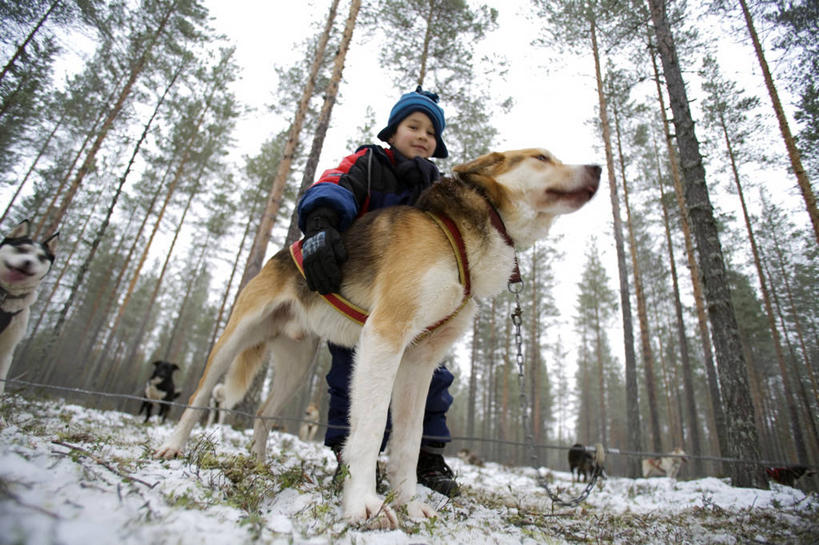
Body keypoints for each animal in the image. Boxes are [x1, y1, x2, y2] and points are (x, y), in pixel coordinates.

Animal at [155, 149, 604, 528]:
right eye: (542, 157)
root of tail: (283, 252)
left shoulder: (420, 360)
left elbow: (408, 440)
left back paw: (261, 465)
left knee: (264, 413)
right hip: (234, 338)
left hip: (296, 367)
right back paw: (172, 448)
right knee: (198, 396)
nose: (598, 167)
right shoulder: (384, 337)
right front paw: (363, 504)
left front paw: (409, 504)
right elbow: (369, 432)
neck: (454, 236)